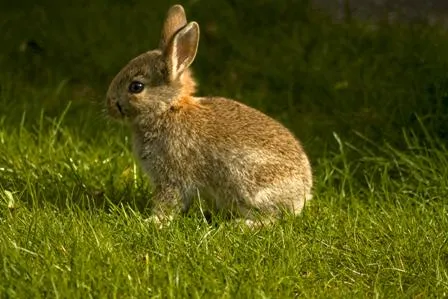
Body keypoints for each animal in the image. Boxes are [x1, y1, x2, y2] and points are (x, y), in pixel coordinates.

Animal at [106, 4, 314, 227]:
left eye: (136, 87)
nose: (109, 105)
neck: (167, 110)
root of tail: (302, 194)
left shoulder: (172, 176)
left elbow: (168, 202)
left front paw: (153, 221)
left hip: (249, 185)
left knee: (270, 217)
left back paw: (241, 225)